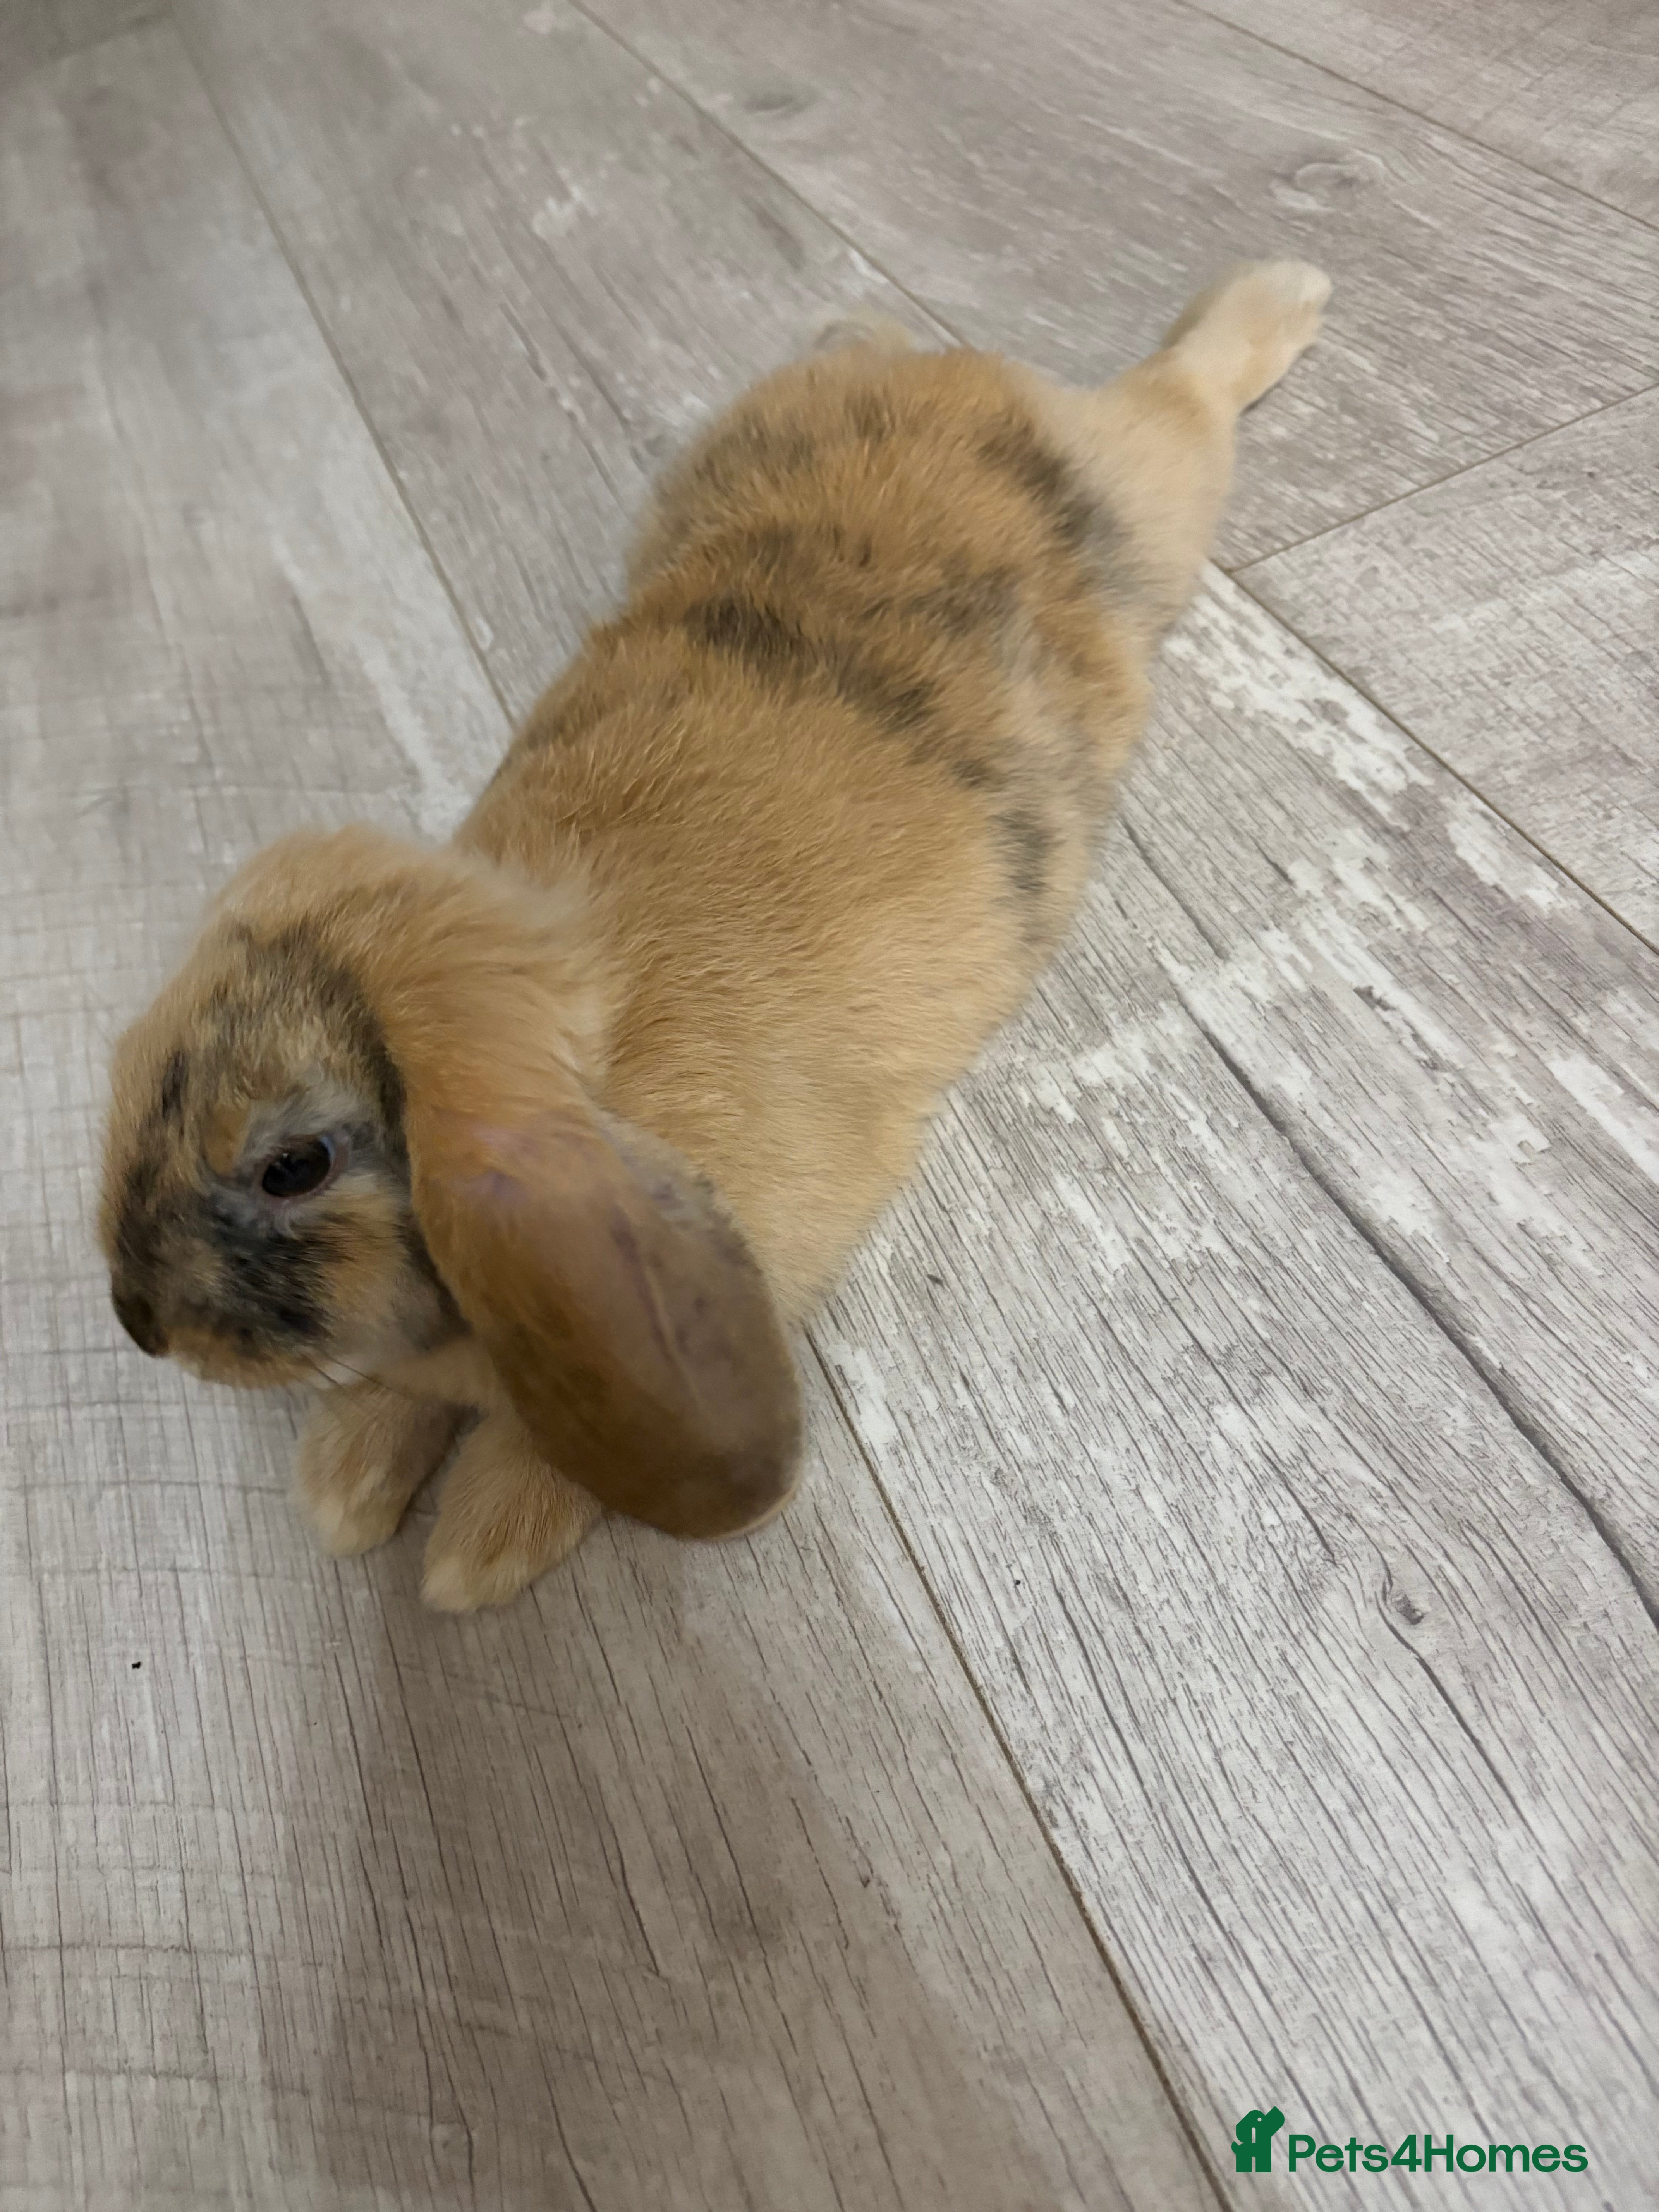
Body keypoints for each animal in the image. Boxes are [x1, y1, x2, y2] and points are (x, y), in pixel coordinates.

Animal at [100, 260, 1329, 1611]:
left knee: (1185, 388)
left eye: (294, 1165)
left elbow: (548, 1437)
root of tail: (928, 369)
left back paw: (1284, 296)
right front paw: (348, 1484)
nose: (138, 1325)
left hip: (1157, 496)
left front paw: (479, 1549)